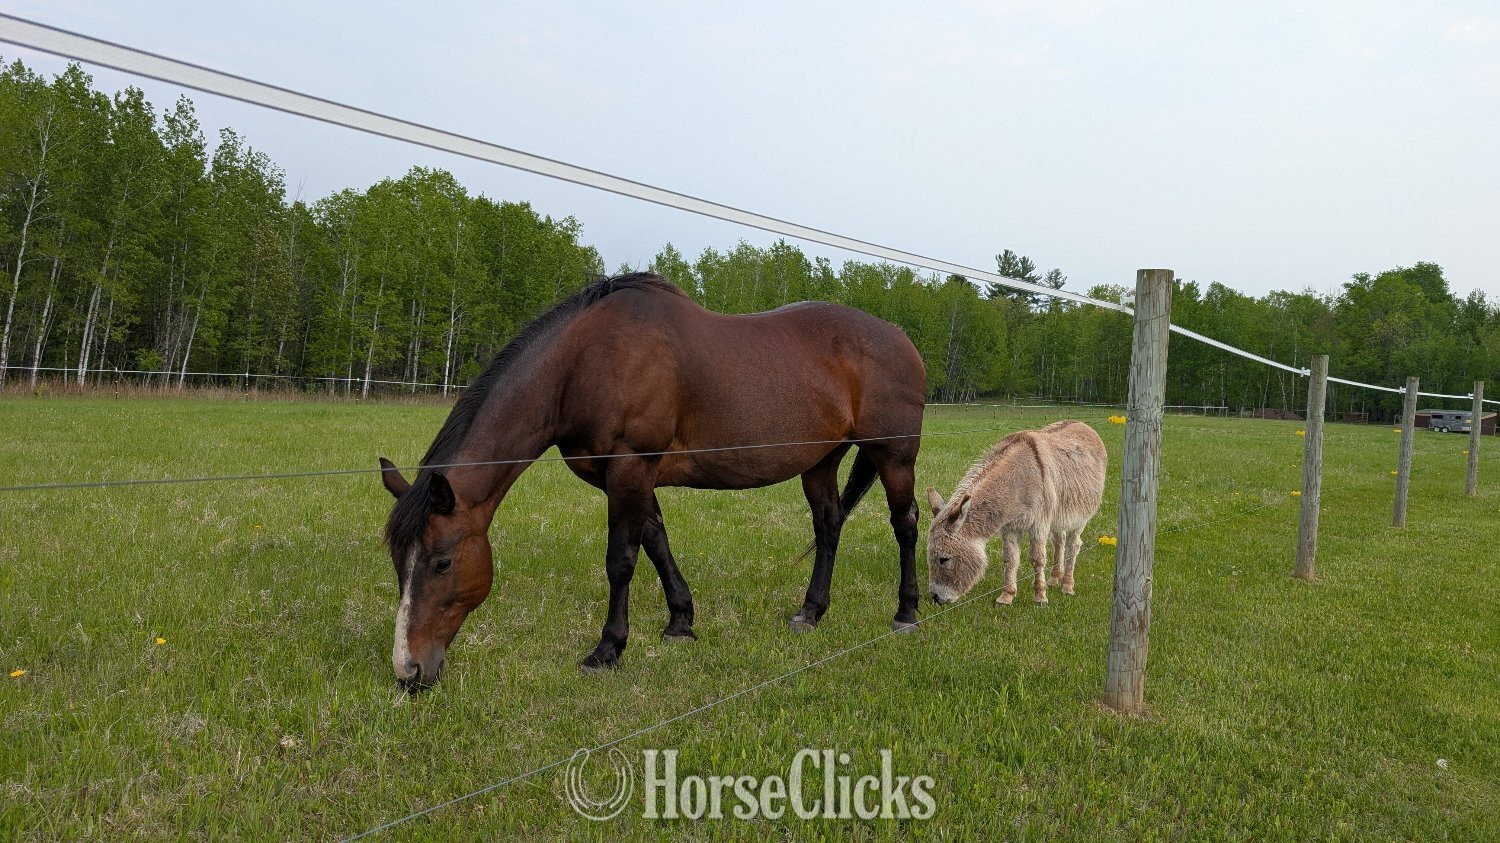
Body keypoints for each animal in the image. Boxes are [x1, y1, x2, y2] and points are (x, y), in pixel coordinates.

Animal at [377, 273, 926, 687]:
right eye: (398, 562)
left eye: (442, 562)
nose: (409, 670)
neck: (585, 361)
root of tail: (900, 337)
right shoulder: (628, 478)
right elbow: (656, 542)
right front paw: (680, 621)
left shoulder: (629, 467)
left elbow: (621, 560)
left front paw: (607, 649)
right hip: (821, 460)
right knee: (829, 525)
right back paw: (810, 612)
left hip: (894, 456)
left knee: (906, 523)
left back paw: (906, 613)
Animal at [926, 420, 1107, 606]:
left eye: (944, 559)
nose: (935, 597)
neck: (1017, 483)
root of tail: (1083, 424)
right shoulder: (1010, 527)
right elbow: (1010, 559)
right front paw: (1007, 596)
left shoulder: (1039, 524)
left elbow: (1037, 558)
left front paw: (1040, 597)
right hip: (1060, 517)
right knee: (1059, 541)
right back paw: (1054, 579)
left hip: (1080, 518)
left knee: (1073, 545)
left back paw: (1067, 586)